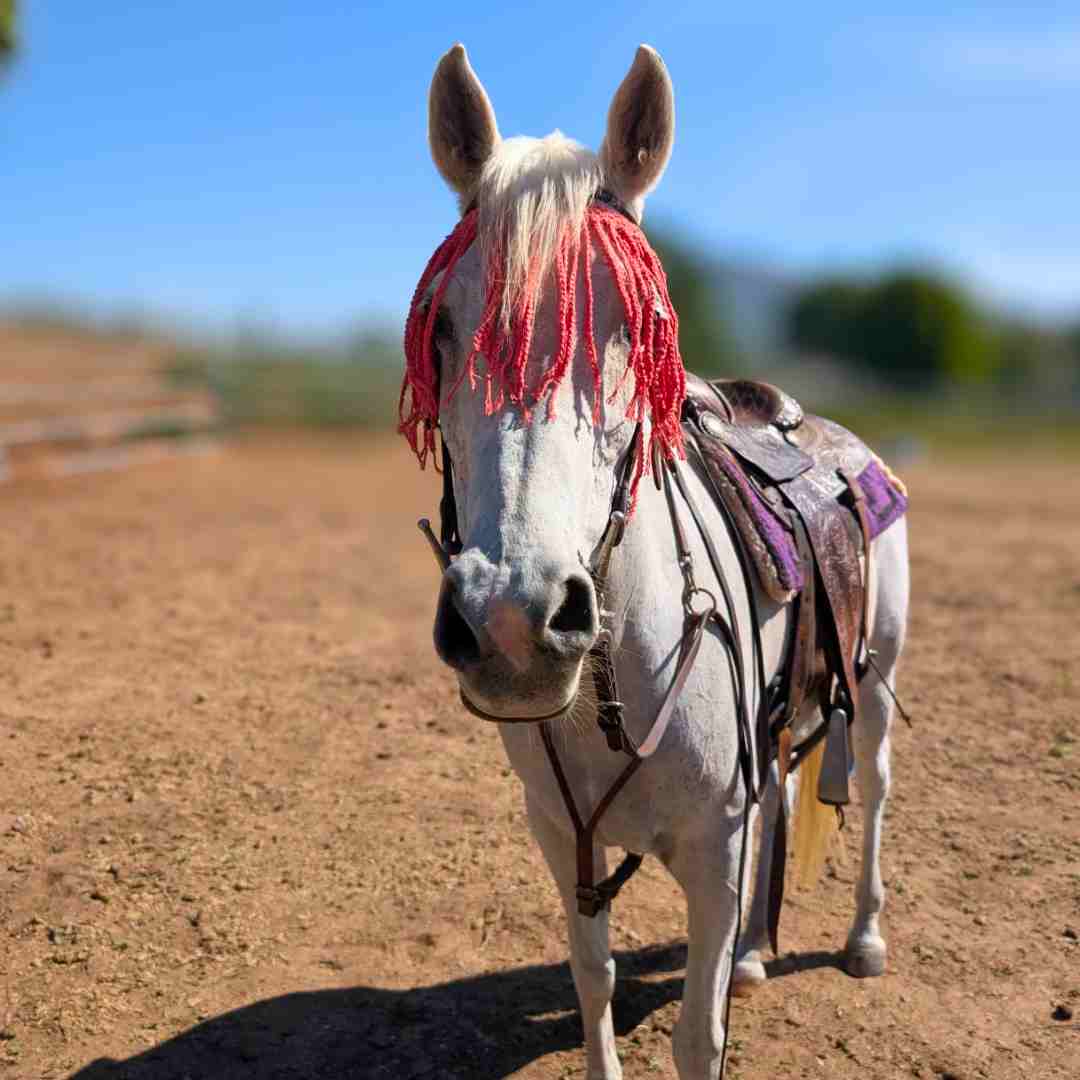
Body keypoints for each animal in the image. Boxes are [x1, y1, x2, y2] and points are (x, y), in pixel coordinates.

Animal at [399, 43, 910, 1080]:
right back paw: (755, 954)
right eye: (443, 330)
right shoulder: (564, 840)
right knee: (784, 784)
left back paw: (863, 939)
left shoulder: (713, 851)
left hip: (874, 678)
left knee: (872, 787)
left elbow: (695, 1035)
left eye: (632, 329)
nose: (512, 621)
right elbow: (592, 985)